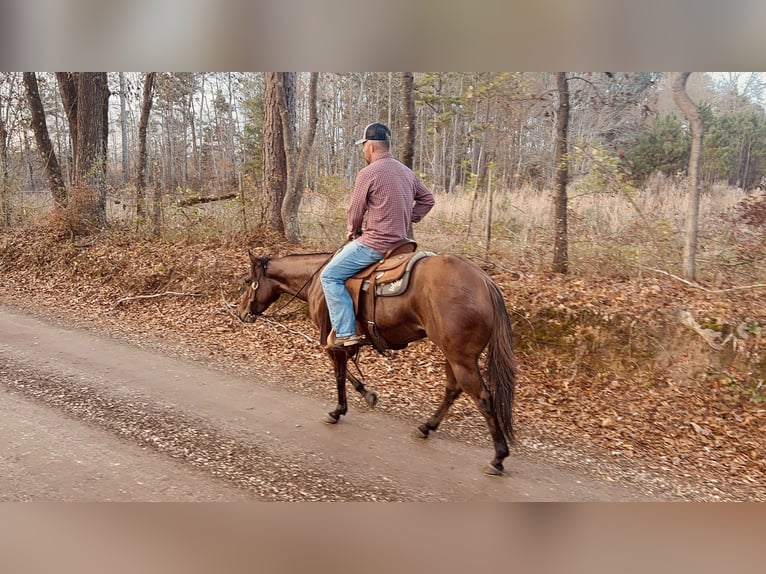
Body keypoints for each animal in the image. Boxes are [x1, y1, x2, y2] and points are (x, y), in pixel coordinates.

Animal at [237, 250, 520, 474]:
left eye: (248, 281)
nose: (241, 313)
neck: (317, 279)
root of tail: (485, 282)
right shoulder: (344, 345)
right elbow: (347, 374)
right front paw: (367, 394)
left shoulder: (332, 341)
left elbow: (339, 375)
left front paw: (338, 410)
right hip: (452, 355)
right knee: (452, 390)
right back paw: (426, 427)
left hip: (461, 358)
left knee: (483, 399)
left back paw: (498, 458)